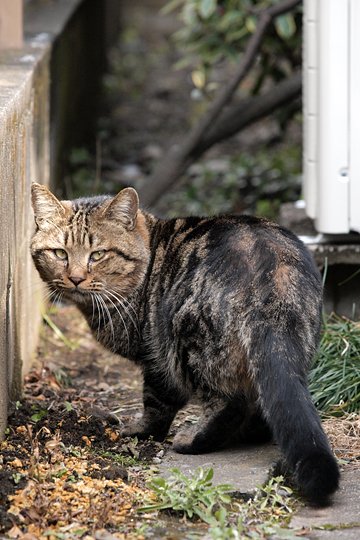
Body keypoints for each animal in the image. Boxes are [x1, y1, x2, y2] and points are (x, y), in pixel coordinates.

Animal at [31, 184, 340, 504]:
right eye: (60, 253)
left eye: (98, 254)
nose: (75, 278)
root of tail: (270, 275)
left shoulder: (155, 357)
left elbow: (157, 403)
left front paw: (141, 430)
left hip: (186, 337)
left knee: (230, 403)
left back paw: (194, 440)